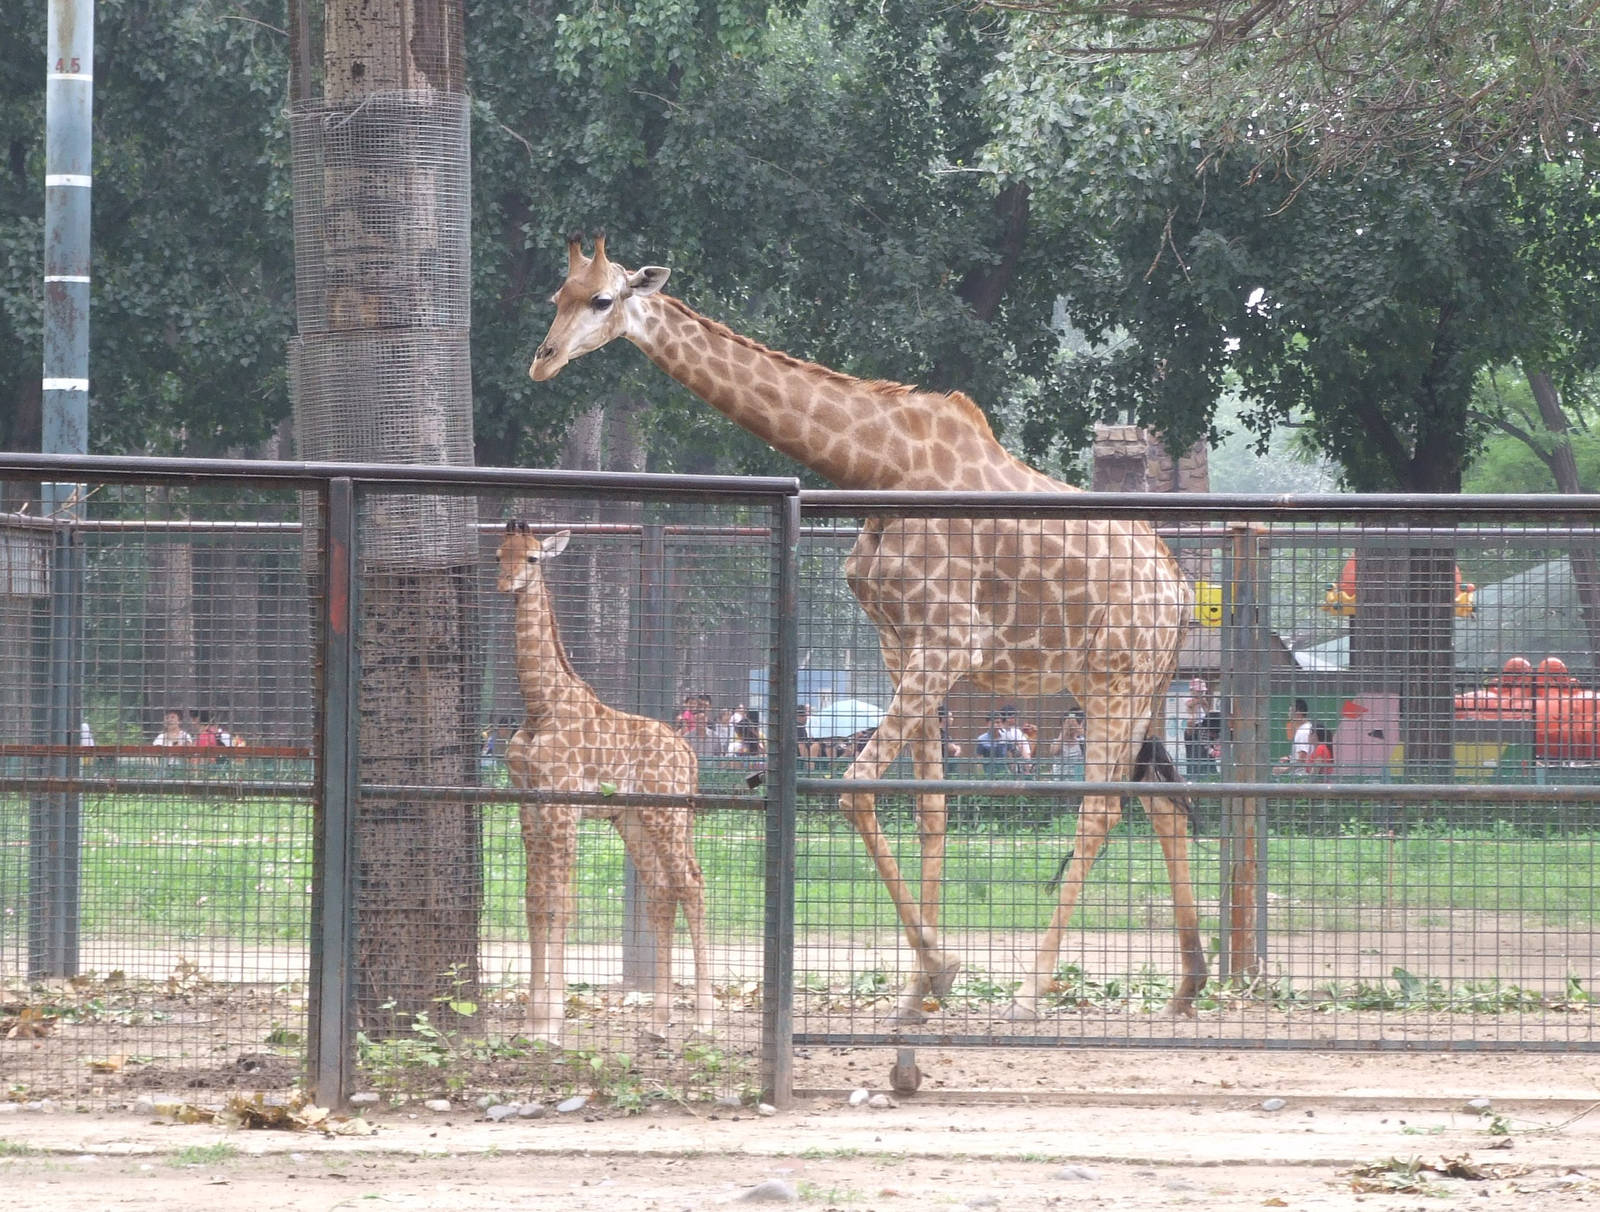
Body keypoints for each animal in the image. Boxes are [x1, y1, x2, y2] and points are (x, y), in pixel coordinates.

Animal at [496, 521, 713, 1045]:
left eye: (533, 558)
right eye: (497, 556)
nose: (506, 585)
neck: (541, 706)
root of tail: (690, 754)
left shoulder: (562, 806)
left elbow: (562, 903)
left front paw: (551, 1021)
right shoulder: (527, 804)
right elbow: (534, 901)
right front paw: (532, 1019)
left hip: (666, 812)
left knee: (692, 884)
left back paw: (703, 1017)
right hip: (633, 818)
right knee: (661, 890)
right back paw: (658, 1021)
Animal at [529, 233, 1205, 1024]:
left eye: (602, 299)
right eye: (558, 296)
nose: (543, 358)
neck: (878, 465)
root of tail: (1180, 588)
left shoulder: (949, 641)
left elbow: (855, 787)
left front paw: (942, 967)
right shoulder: (900, 643)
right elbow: (931, 805)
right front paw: (919, 989)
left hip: (1117, 676)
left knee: (1102, 808)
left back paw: (1032, 993)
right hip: (1135, 685)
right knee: (1164, 799)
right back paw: (1188, 985)